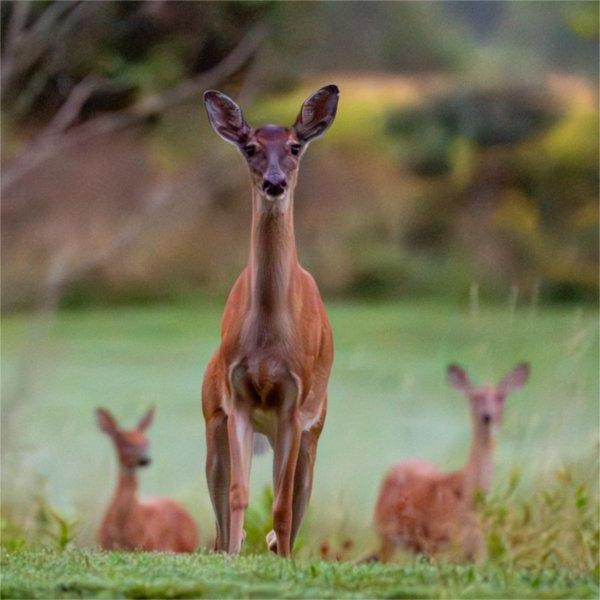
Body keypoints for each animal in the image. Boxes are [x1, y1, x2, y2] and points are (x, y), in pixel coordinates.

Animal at [202, 85, 338, 556]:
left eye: (295, 146)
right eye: (250, 147)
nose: (274, 182)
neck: (266, 342)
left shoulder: (293, 404)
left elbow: (282, 503)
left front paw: (281, 559)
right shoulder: (237, 397)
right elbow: (239, 495)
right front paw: (233, 556)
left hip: (314, 426)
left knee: (297, 502)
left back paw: (282, 549)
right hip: (213, 421)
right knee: (220, 511)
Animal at [376, 360, 528, 564]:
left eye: (500, 397)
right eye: (475, 397)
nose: (487, 416)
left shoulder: (477, 549)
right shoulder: (436, 538)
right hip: (386, 535)